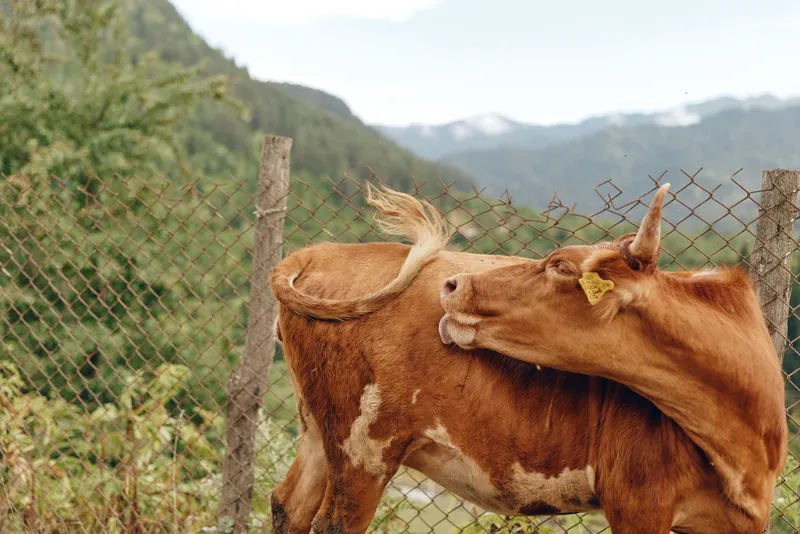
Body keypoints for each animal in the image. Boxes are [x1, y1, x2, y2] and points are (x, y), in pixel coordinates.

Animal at [269, 183, 787, 534]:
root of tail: (323, 251)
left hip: (319, 433)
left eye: (560, 265)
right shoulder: (639, 503)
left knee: (287, 506)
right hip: (363, 449)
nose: (453, 284)